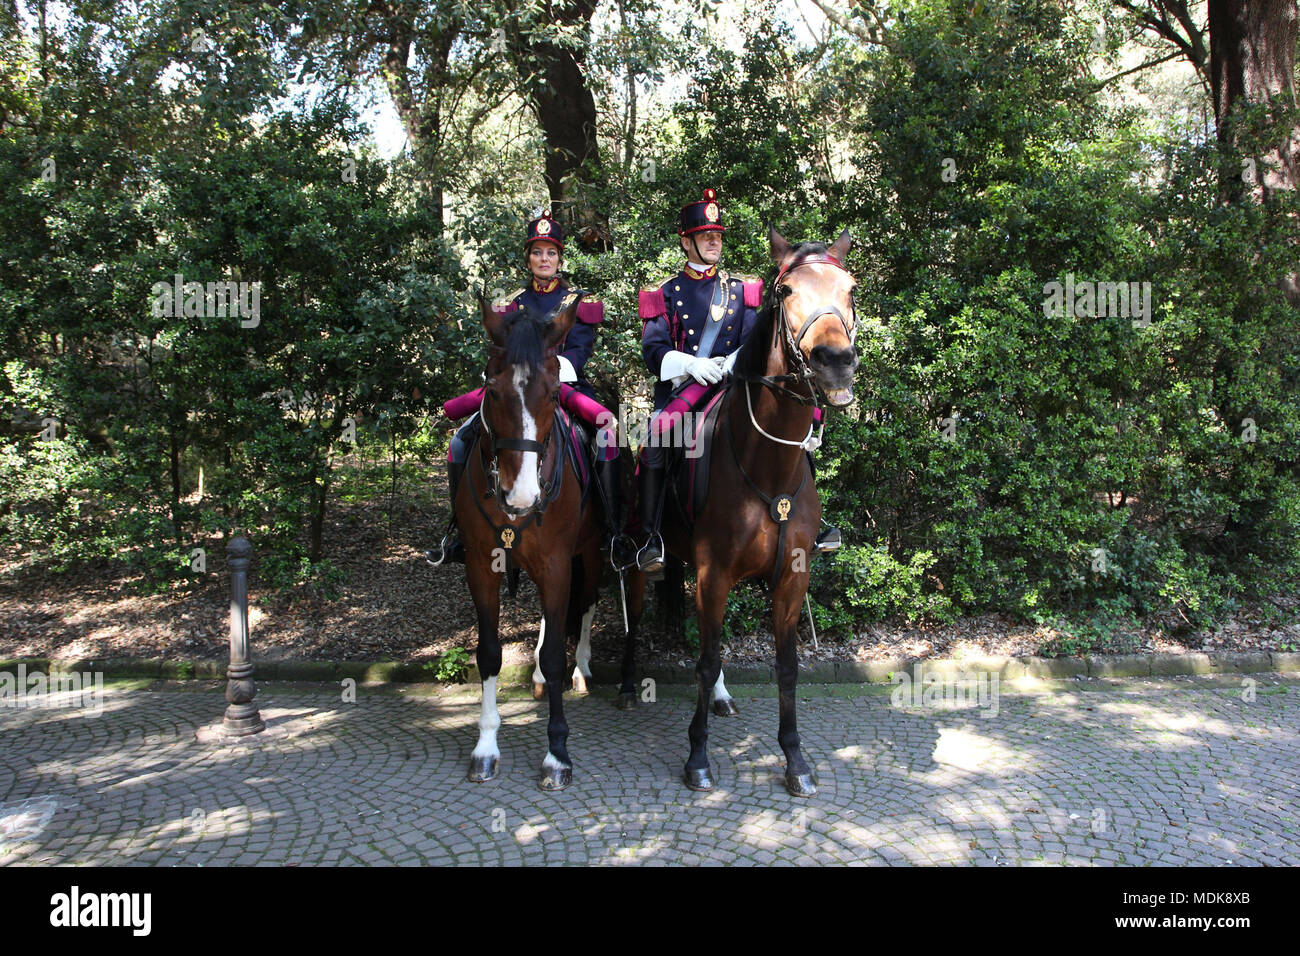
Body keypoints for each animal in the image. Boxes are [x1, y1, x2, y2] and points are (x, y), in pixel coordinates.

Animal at [462, 295, 608, 790]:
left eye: (553, 392)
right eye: (491, 389)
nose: (521, 495)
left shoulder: (558, 562)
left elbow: (557, 649)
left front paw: (557, 754)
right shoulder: (481, 565)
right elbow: (489, 652)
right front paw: (486, 745)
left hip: (589, 554)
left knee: (585, 604)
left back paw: (582, 668)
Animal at [629, 227, 863, 796]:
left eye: (850, 288)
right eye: (785, 291)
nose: (835, 360)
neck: (768, 467)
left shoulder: (790, 581)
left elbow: (787, 666)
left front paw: (795, 759)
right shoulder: (713, 574)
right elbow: (706, 657)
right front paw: (697, 756)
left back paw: (720, 697)